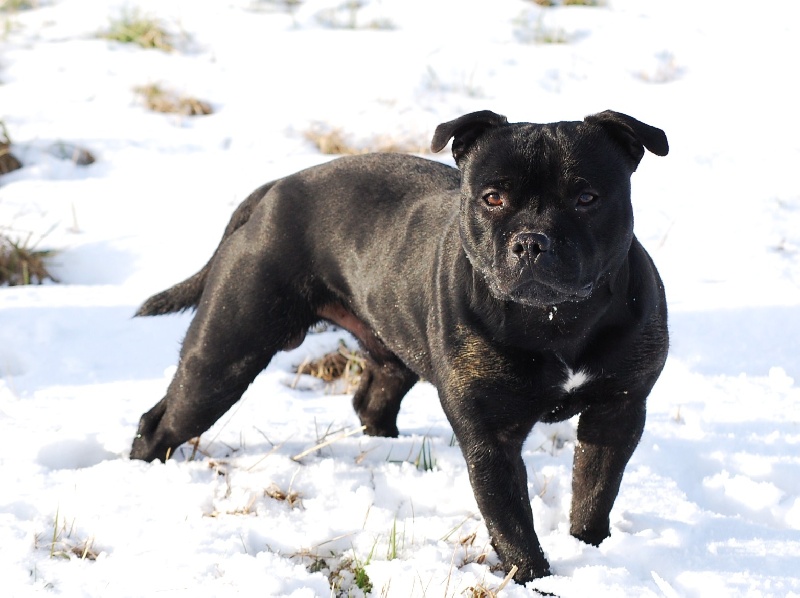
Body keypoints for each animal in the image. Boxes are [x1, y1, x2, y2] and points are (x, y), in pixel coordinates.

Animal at [130, 110, 669, 583]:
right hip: (225, 354)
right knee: (162, 420)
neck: (556, 321)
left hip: (389, 353)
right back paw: (142, 473)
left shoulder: (617, 412)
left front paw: (591, 549)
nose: (532, 242)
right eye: (492, 198)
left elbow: (595, 491)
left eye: (587, 197)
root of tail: (274, 190)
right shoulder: (491, 438)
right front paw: (537, 578)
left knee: (372, 400)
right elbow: (512, 523)